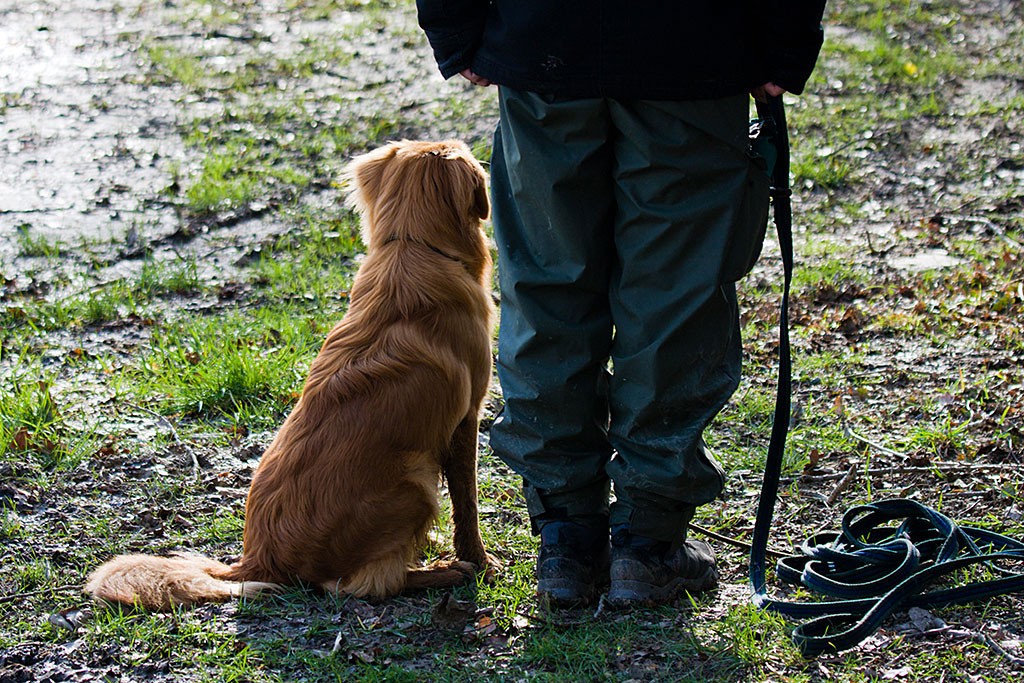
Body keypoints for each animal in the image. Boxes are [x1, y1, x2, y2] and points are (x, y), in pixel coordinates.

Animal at [87, 141, 499, 610]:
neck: (414, 245)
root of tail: (258, 558)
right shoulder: (467, 418)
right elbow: (467, 503)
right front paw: (480, 560)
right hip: (414, 483)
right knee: (363, 586)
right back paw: (443, 572)